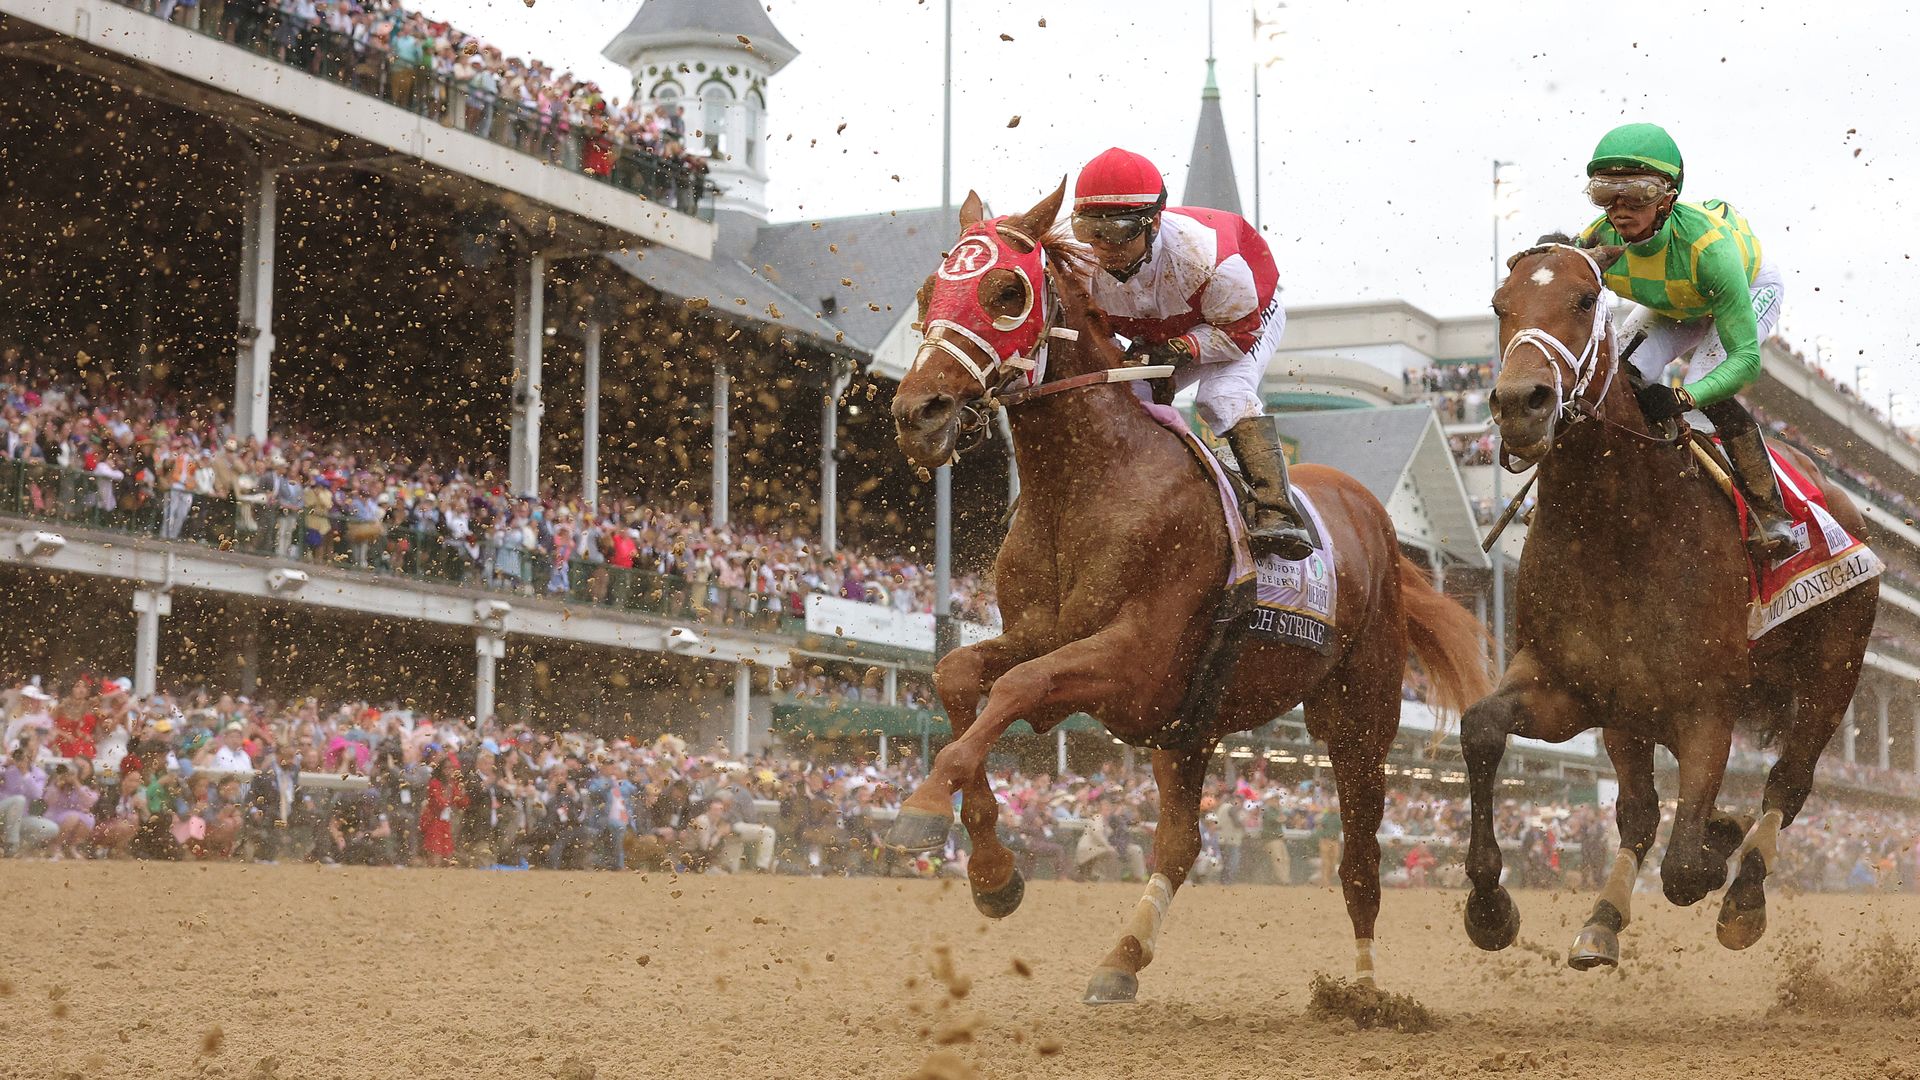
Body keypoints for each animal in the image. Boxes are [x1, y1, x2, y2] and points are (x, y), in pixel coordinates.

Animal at [890, 182, 1489, 999]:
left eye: (1007, 291)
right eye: (928, 291)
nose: (917, 413)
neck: (1087, 485)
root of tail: (1380, 525)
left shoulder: (1134, 657)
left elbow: (1018, 687)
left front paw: (922, 808)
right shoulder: (1052, 637)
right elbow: (959, 674)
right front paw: (992, 874)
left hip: (1360, 717)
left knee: (1361, 858)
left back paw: (1365, 991)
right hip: (1189, 729)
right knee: (1182, 840)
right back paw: (1121, 959)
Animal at [1466, 244, 1873, 968]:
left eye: (1583, 300)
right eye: (1499, 305)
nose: (1520, 403)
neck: (1618, 528)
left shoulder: (1708, 704)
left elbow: (1685, 867)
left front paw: (1716, 846)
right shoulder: (1573, 688)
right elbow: (1482, 726)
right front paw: (1489, 907)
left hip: (1834, 673)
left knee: (1787, 783)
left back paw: (1744, 896)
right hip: (1635, 719)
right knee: (1639, 814)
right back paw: (1604, 917)